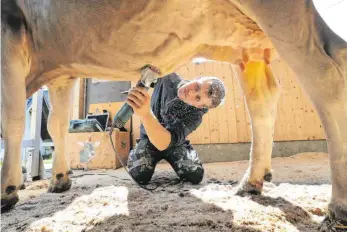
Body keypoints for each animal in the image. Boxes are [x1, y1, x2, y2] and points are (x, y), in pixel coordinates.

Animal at [0, 0, 347, 228]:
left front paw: (8, 189)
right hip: (245, 43)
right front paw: (59, 179)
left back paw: (338, 208)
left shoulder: (10, 28)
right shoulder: (64, 71)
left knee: (327, 71)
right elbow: (56, 124)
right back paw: (252, 181)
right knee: (262, 97)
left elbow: (12, 120)